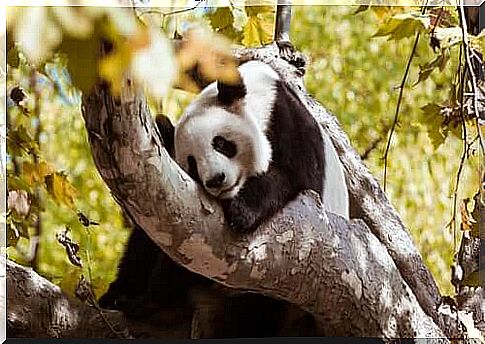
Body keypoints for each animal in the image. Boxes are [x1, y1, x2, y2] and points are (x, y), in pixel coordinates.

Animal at [99, 59, 348, 338]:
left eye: (220, 143)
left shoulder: (290, 124)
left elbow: (292, 177)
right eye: (192, 164)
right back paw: (126, 298)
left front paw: (241, 211)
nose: (216, 180)